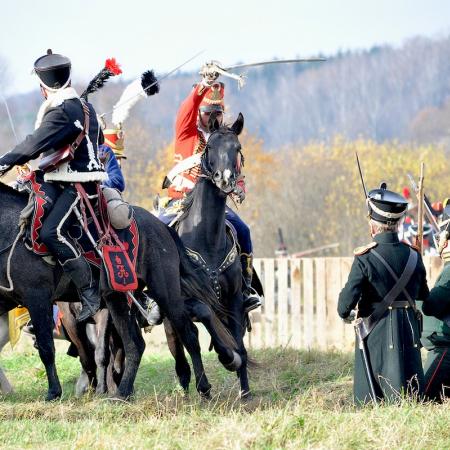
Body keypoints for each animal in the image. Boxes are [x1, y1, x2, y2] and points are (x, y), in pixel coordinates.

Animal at [0, 183, 239, 400]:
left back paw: (204, 387)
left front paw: (54, 392)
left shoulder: (38, 298)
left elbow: (48, 348)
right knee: (137, 343)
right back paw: (123, 392)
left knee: (188, 334)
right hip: (118, 298)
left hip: (164, 291)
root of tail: (163, 227)